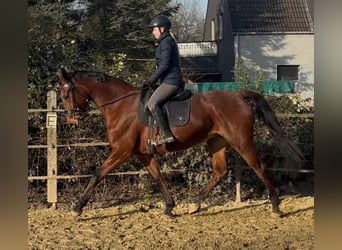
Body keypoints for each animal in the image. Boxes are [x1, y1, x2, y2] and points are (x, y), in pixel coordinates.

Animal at [56, 68, 304, 217]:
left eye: (66, 94)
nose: (71, 119)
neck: (120, 105)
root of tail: (239, 96)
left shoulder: (121, 151)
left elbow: (98, 174)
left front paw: (77, 207)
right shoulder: (144, 154)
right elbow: (158, 178)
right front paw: (169, 207)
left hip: (241, 142)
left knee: (259, 167)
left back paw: (276, 206)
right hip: (217, 142)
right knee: (220, 171)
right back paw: (196, 203)